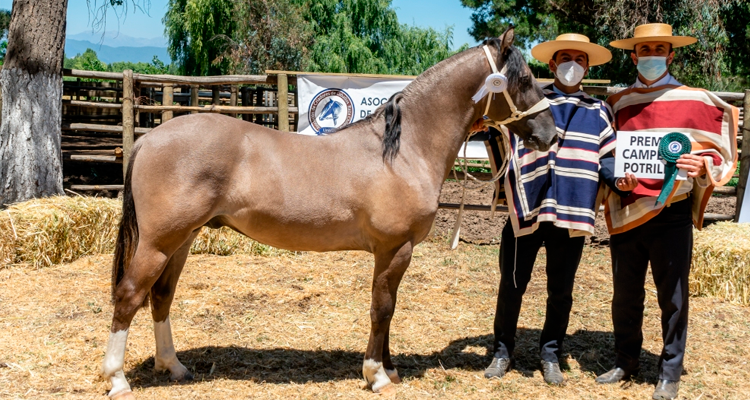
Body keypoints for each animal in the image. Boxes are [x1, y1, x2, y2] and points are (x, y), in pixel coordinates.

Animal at [100, 28, 560, 400]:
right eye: (523, 80)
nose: (551, 135)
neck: (402, 151)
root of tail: (149, 138)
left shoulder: (393, 252)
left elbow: (388, 307)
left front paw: (389, 368)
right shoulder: (394, 249)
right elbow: (382, 308)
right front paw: (377, 375)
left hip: (182, 240)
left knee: (161, 296)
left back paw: (173, 366)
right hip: (159, 243)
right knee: (129, 295)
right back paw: (117, 379)